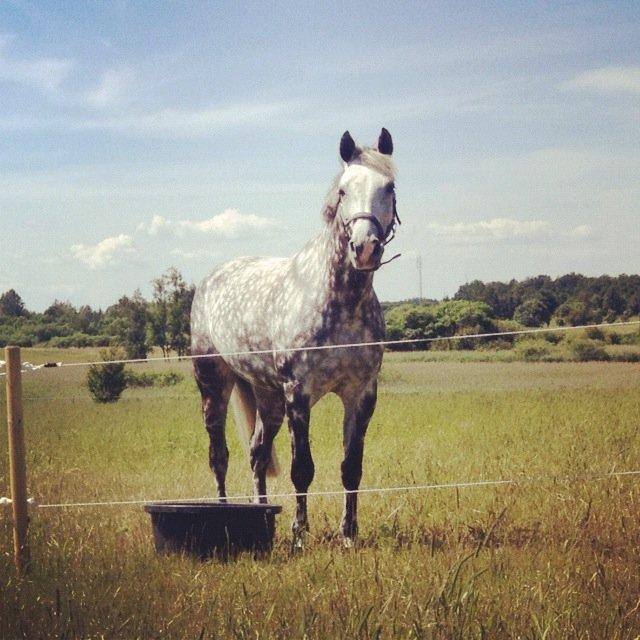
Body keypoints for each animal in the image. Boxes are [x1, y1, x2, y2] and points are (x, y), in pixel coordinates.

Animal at [190, 130, 400, 544]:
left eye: (390, 187)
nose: (365, 248)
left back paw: (261, 514)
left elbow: (351, 468)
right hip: (213, 386)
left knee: (256, 454)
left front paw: (349, 534)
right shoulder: (298, 395)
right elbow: (302, 468)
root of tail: (210, 279)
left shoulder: (361, 394)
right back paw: (222, 512)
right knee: (219, 456)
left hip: (267, 397)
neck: (340, 302)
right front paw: (300, 534)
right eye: (343, 191)